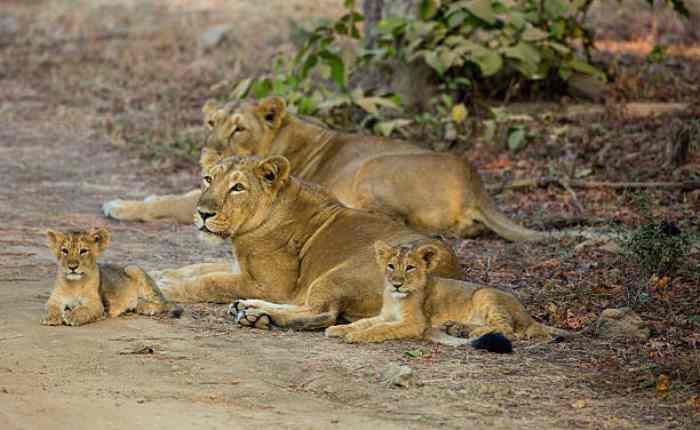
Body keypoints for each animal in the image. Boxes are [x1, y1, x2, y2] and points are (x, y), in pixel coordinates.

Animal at [42, 227, 181, 326]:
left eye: (83, 251)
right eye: (64, 251)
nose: (72, 267)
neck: (74, 284)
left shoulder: (97, 304)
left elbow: (84, 310)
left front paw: (72, 316)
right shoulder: (55, 299)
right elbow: (50, 307)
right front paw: (51, 317)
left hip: (134, 269)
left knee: (165, 302)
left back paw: (145, 307)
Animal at [103, 96, 547, 241]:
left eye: (239, 128)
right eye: (211, 122)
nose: (207, 153)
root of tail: (474, 179)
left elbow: (170, 201)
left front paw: (119, 206)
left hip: (373, 167)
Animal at [154, 151, 461, 331]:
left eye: (237, 187)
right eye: (208, 179)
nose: (203, 213)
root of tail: (450, 273)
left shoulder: (271, 285)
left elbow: (209, 281)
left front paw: (164, 286)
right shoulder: (240, 267)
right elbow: (199, 267)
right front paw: (161, 272)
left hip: (338, 275)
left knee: (323, 313)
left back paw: (257, 315)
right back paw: (250, 310)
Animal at [324, 240, 570, 349]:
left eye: (410, 268)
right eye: (391, 266)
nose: (396, 284)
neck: (395, 299)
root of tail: (529, 315)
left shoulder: (415, 323)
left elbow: (380, 329)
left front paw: (355, 336)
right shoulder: (384, 315)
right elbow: (364, 322)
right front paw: (339, 328)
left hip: (484, 294)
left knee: (509, 330)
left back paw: (471, 332)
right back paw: (456, 327)